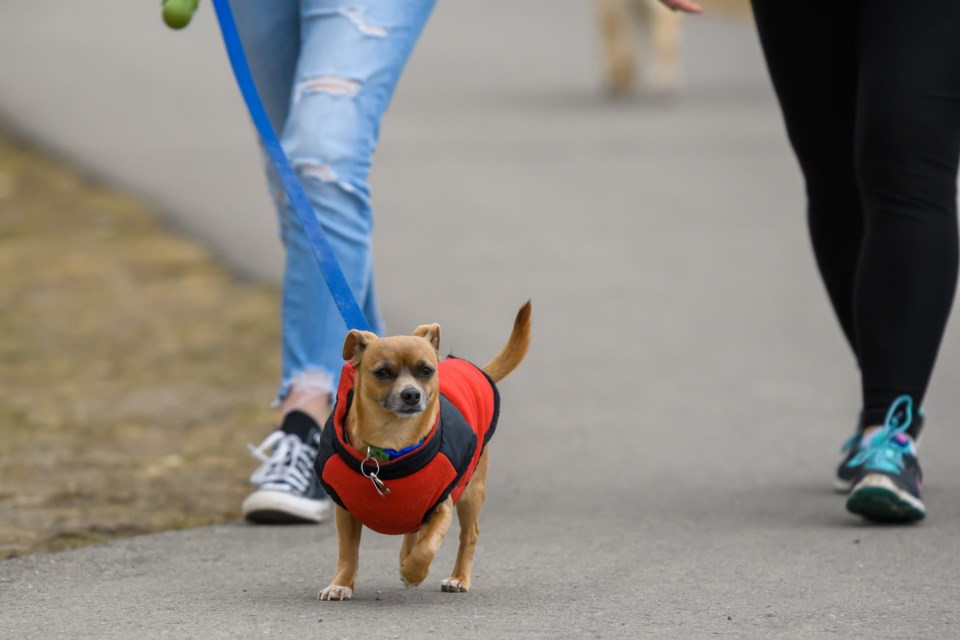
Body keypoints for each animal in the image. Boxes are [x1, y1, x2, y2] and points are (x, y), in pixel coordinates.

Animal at [316, 300, 528, 600]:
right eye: (382, 372)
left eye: (426, 370)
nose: (411, 394)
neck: (391, 442)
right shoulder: (345, 512)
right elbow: (348, 552)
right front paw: (341, 583)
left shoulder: (442, 508)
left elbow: (426, 548)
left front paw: (413, 572)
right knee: (412, 533)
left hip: (471, 493)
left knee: (468, 535)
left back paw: (458, 578)